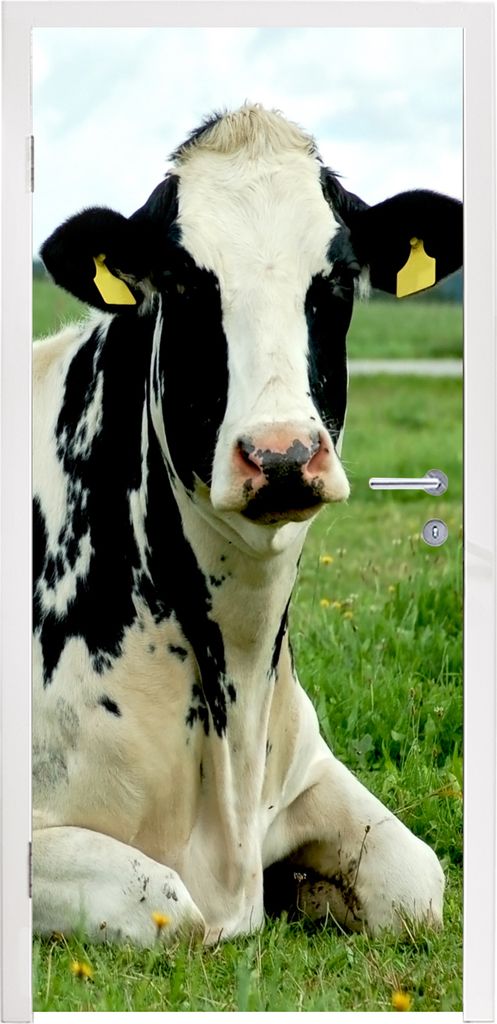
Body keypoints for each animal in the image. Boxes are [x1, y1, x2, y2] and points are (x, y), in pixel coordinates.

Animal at [33, 104, 462, 947]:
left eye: (338, 280)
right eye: (180, 282)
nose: (281, 454)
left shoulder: (303, 771)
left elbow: (417, 881)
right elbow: (166, 904)